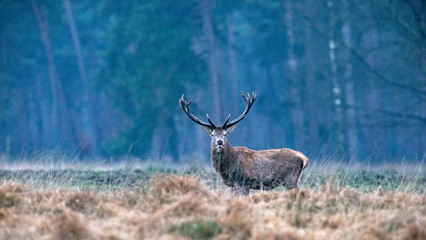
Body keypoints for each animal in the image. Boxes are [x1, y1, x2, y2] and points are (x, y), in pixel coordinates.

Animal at [178, 92, 308, 195]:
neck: (227, 167)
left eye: (225, 134)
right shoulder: (234, 185)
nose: (219, 141)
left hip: (290, 179)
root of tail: (304, 158)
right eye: (213, 135)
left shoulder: (243, 181)